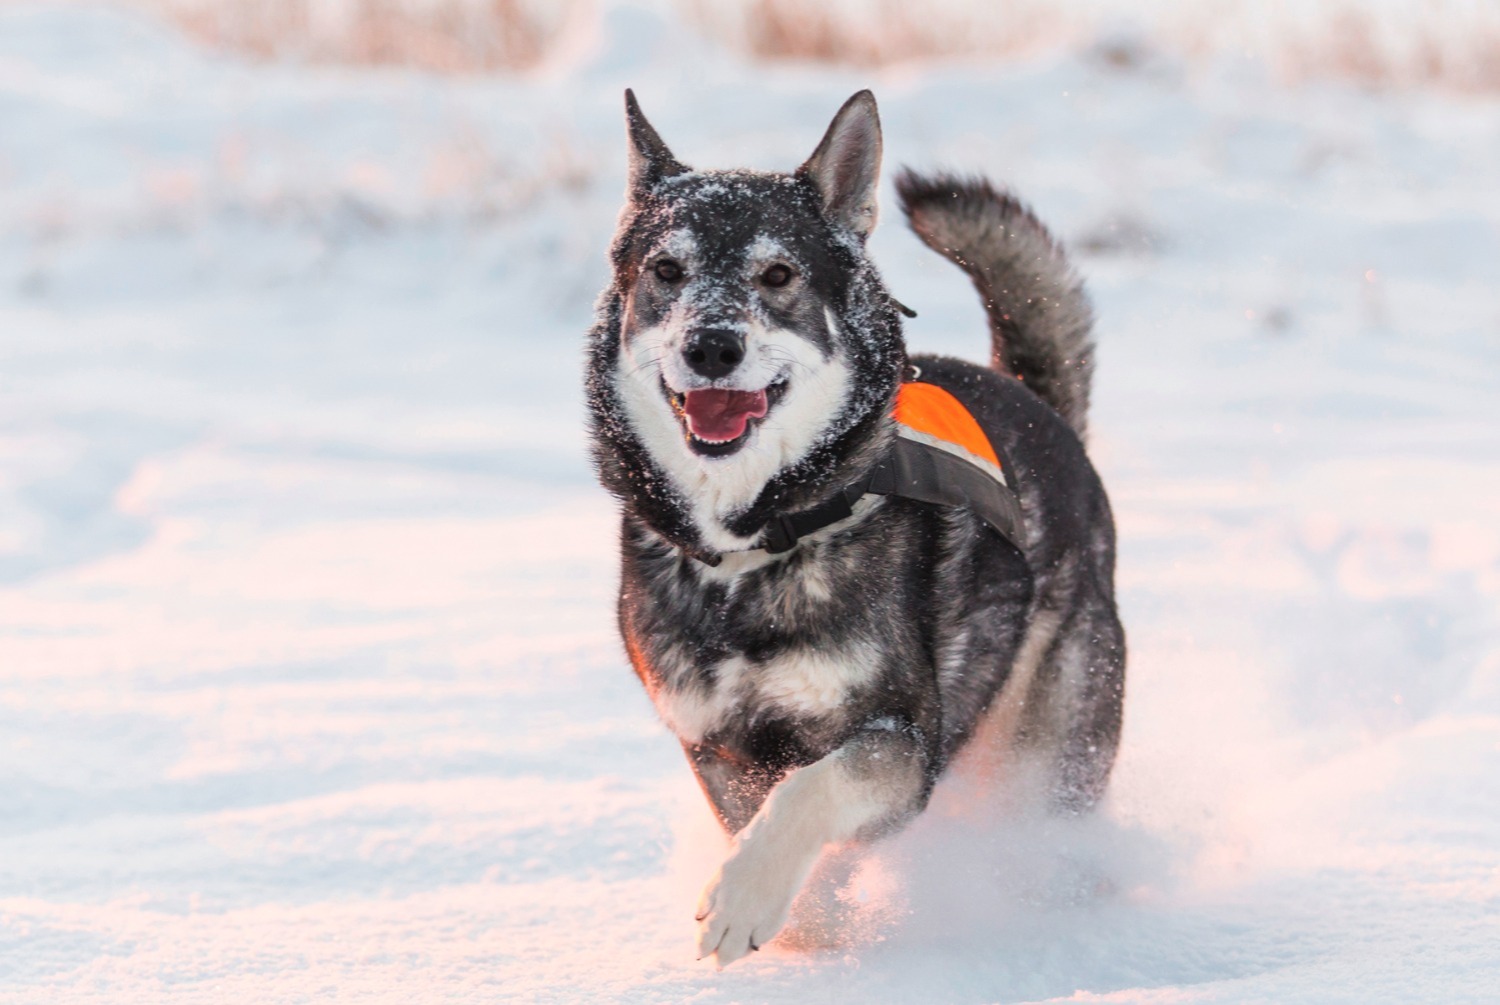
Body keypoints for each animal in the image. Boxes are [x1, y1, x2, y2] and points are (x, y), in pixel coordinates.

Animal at [585, 90, 1128, 972]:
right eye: (666, 271)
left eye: (778, 275)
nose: (711, 345)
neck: (750, 546)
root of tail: (1037, 406)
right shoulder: (718, 748)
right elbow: (775, 825)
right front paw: (809, 928)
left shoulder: (900, 737)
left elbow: (812, 789)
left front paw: (744, 899)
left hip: (1049, 746)